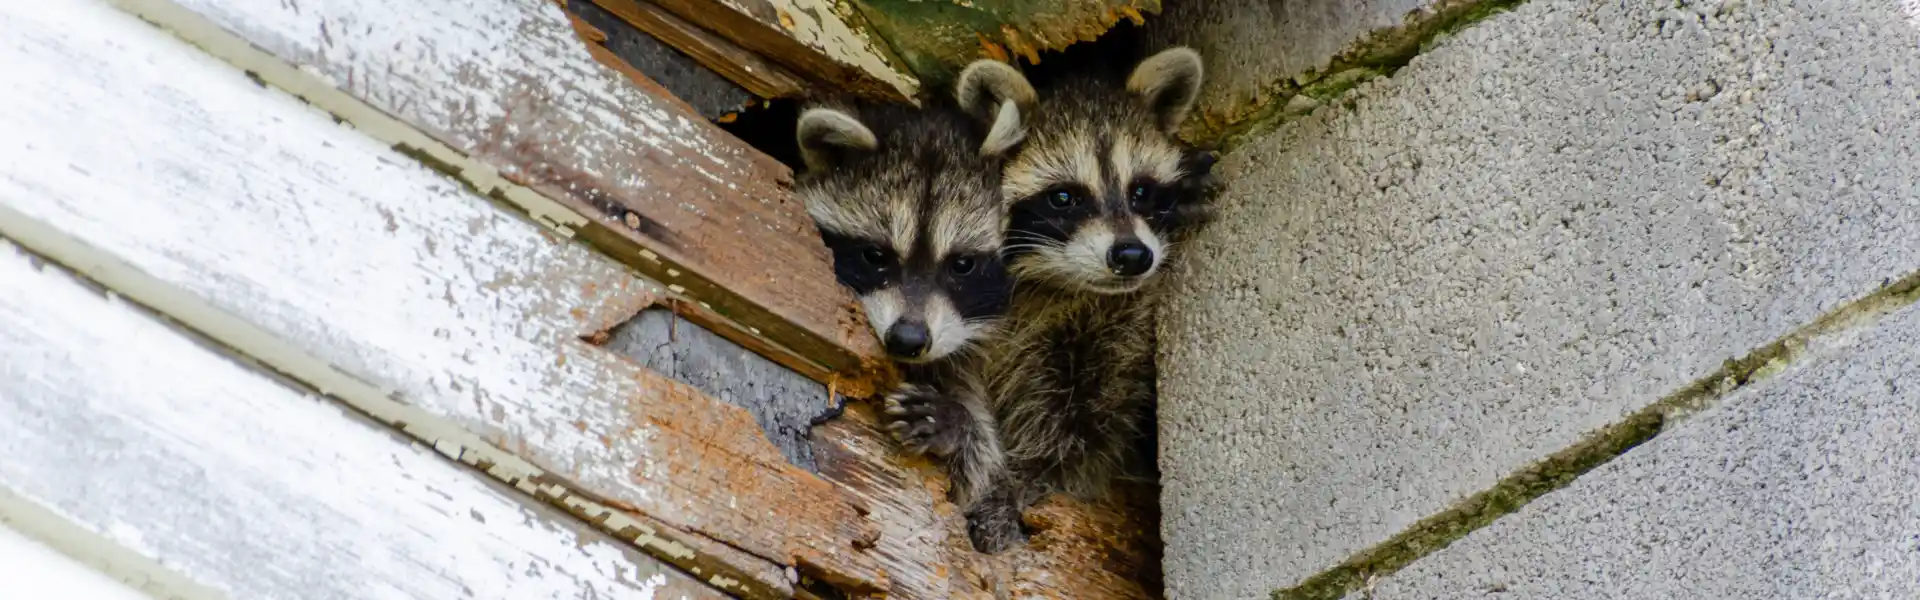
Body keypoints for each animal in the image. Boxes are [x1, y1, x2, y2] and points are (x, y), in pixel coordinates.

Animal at [949, 46, 1220, 553]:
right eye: (1063, 197)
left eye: (1141, 190)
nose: (1132, 256)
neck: (1058, 283)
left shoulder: (1114, 328)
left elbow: (1085, 430)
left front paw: (1024, 480)